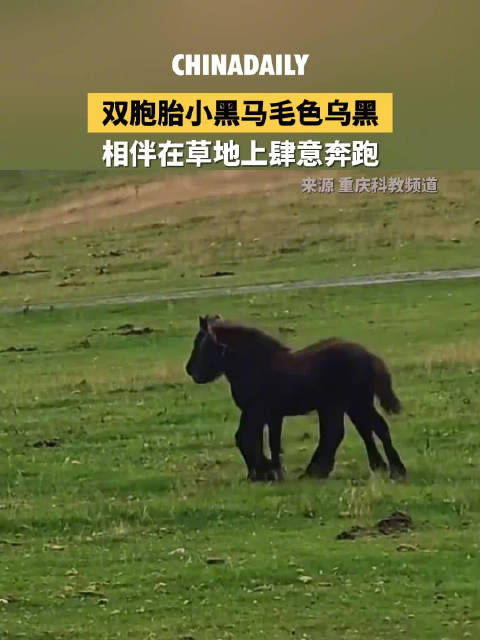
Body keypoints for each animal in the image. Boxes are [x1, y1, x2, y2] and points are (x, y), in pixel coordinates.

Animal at [185, 315, 406, 482]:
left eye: (200, 343)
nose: (190, 370)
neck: (256, 364)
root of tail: (369, 355)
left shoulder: (255, 412)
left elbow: (246, 438)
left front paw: (264, 472)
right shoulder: (272, 415)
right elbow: (270, 442)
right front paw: (271, 471)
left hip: (350, 404)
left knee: (366, 429)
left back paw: (395, 470)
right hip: (350, 405)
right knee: (358, 430)